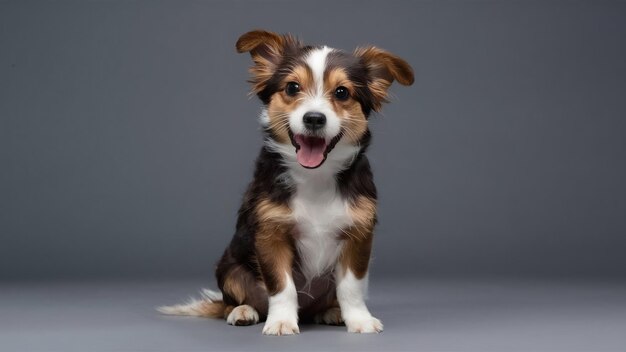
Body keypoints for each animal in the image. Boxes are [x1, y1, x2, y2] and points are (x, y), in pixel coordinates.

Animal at [158, 29, 412, 336]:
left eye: (342, 92)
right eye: (292, 88)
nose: (314, 118)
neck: (315, 176)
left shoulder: (358, 234)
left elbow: (351, 287)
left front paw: (359, 320)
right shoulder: (271, 235)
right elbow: (281, 286)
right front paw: (281, 321)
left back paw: (332, 312)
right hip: (229, 268)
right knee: (233, 301)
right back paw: (243, 311)